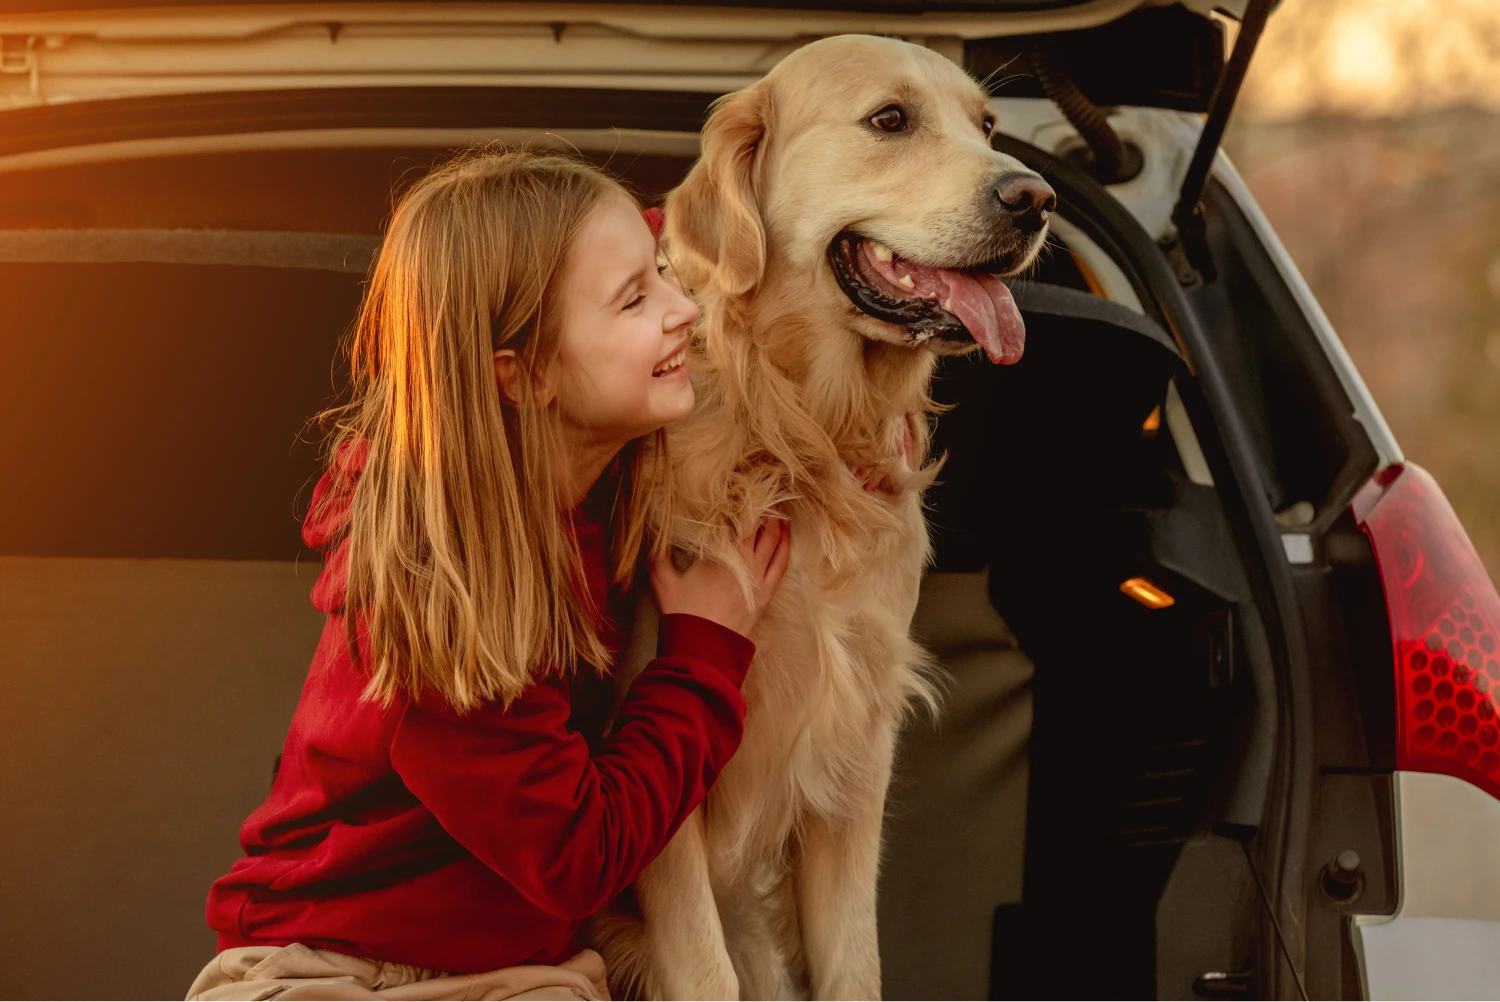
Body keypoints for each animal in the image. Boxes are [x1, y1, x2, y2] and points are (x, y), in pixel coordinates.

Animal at [597, 31, 1056, 1002]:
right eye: (890, 120)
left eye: (989, 125)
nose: (1036, 198)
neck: (799, 439)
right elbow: (704, 971)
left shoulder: (853, 759)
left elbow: (854, 966)